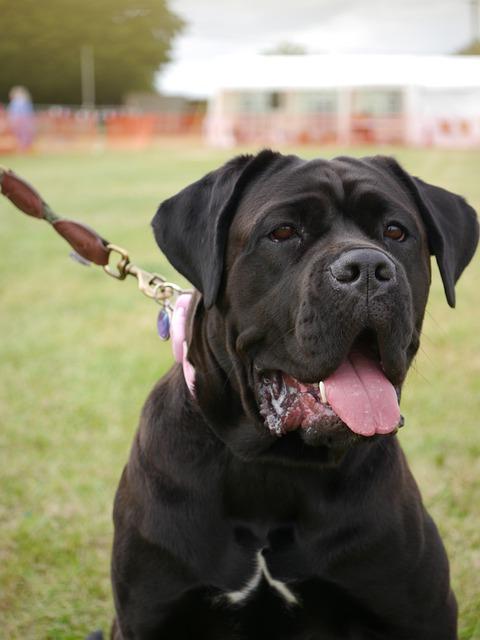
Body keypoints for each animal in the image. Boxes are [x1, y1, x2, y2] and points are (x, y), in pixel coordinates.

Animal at [106, 152, 480, 636]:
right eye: (283, 232)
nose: (367, 269)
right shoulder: (148, 615)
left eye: (396, 232)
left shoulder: (421, 612)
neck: (274, 467)